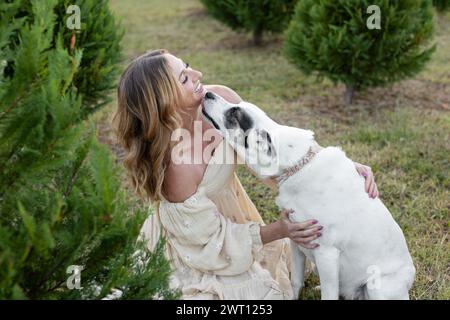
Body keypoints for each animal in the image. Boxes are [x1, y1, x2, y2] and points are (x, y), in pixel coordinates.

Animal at [203, 90, 414, 300]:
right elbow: (295, 281)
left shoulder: (327, 254)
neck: (298, 167)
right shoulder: (296, 240)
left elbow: (328, 296)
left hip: (377, 286)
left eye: (234, 114)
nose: (208, 93)